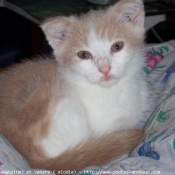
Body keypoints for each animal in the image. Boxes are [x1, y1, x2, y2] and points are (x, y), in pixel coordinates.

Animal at [0, 0, 148, 173]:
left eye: (117, 46)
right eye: (84, 55)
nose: (105, 69)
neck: (114, 90)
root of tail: (30, 161)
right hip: (61, 100)